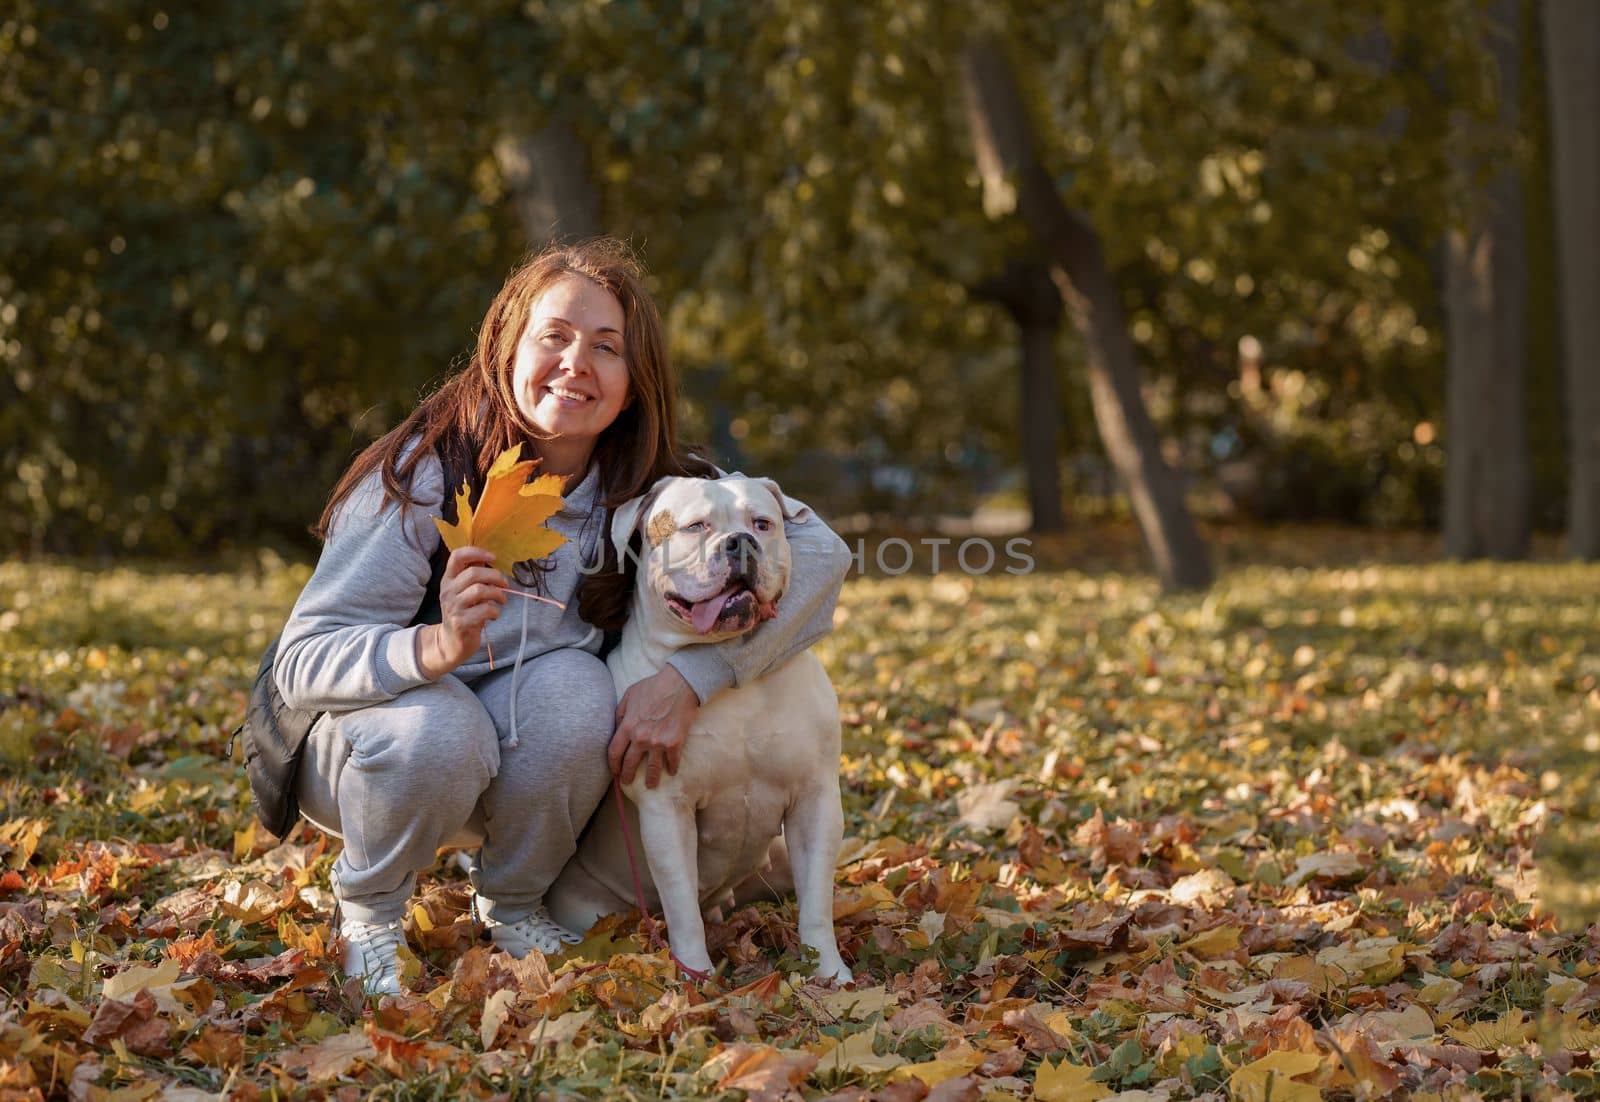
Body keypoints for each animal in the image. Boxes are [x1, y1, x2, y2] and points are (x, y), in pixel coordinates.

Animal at [547, 473, 857, 978]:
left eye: (763, 523)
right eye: (695, 526)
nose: (741, 542)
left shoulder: (816, 799)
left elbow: (816, 903)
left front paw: (829, 972)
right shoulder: (667, 811)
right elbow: (682, 911)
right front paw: (697, 977)